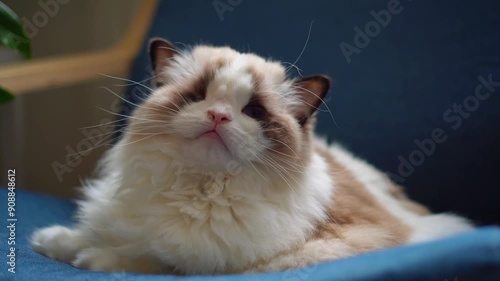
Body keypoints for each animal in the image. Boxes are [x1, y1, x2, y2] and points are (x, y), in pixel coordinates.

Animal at [30, 37, 472, 274]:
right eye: (198, 97)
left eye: (254, 112)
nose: (218, 115)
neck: (200, 190)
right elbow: (100, 233)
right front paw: (52, 241)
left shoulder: (227, 264)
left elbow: (155, 259)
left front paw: (92, 258)